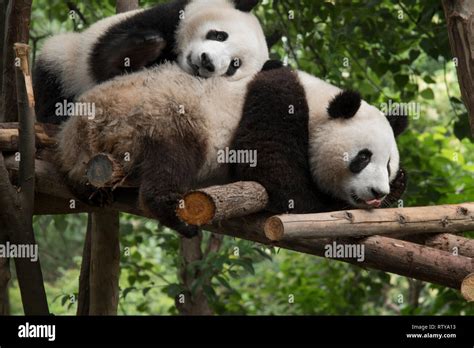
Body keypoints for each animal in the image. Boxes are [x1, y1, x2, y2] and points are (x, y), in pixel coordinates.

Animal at [33, 0, 262, 124]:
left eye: (234, 65)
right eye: (219, 35)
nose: (207, 62)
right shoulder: (165, 16)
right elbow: (102, 61)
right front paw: (146, 47)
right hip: (68, 60)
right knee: (53, 67)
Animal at [55, 59, 408, 239]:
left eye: (388, 164)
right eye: (363, 157)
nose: (377, 192)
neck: (317, 103)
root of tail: (82, 129)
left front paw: (398, 187)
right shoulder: (277, 101)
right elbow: (271, 172)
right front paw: (323, 204)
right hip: (158, 114)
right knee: (174, 156)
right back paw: (173, 211)